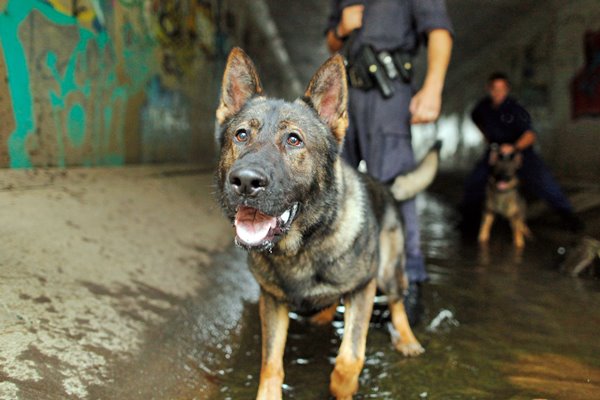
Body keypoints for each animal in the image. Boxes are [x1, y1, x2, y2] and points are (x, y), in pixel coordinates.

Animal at [213, 48, 438, 398]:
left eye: (294, 140)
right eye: (241, 135)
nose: (246, 182)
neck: (303, 244)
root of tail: (385, 185)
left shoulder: (362, 289)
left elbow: (350, 358)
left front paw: (342, 387)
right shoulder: (272, 301)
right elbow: (271, 363)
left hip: (389, 271)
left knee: (397, 303)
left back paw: (407, 340)